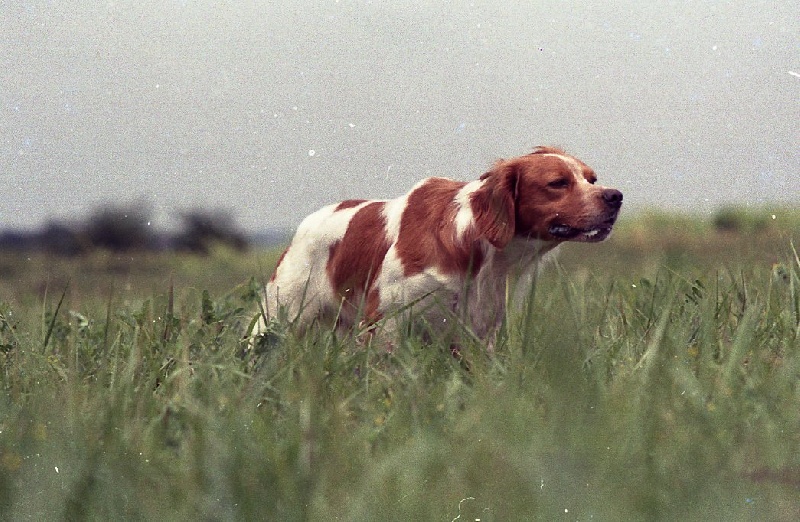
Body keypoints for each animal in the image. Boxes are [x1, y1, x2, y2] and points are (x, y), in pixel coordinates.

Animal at [253, 146, 620, 348]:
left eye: (592, 179)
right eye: (557, 183)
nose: (616, 196)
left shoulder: (478, 334)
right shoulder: (385, 324)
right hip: (279, 317)